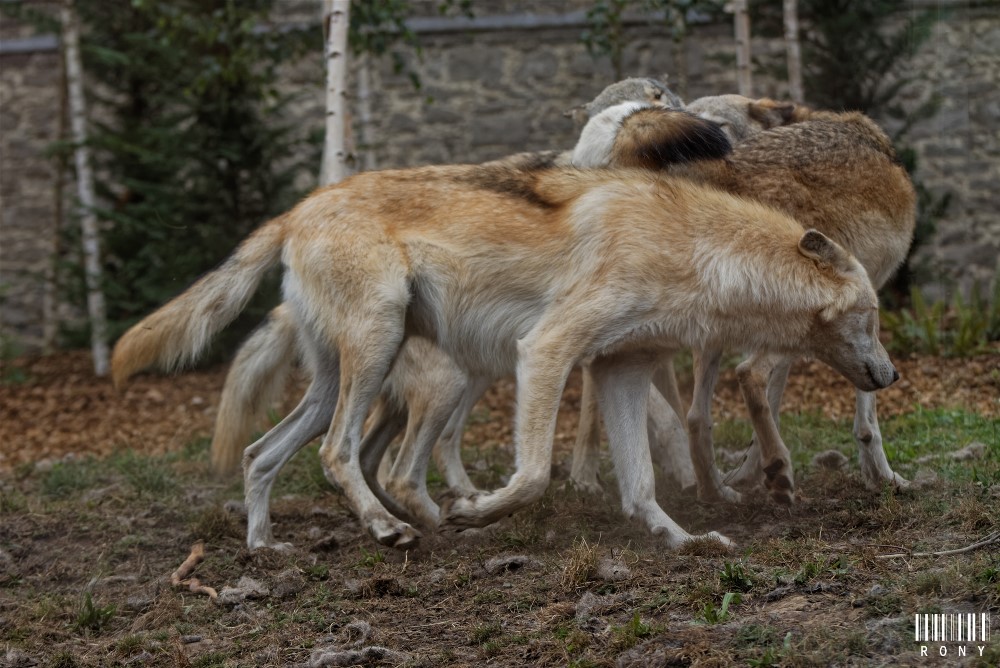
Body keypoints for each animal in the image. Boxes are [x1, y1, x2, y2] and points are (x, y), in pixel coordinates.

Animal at [111, 147, 900, 552]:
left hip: (343, 381)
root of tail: (298, 209)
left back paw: (265, 547)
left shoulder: (620, 371)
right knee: (342, 456)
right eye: (873, 316)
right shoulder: (546, 351)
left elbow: (641, 483)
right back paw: (393, 528)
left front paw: (681, 541)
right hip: (387, 357)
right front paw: (478, 512)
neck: (698, 251)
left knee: (260, 454)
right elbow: (532, 478)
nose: (892, 376)